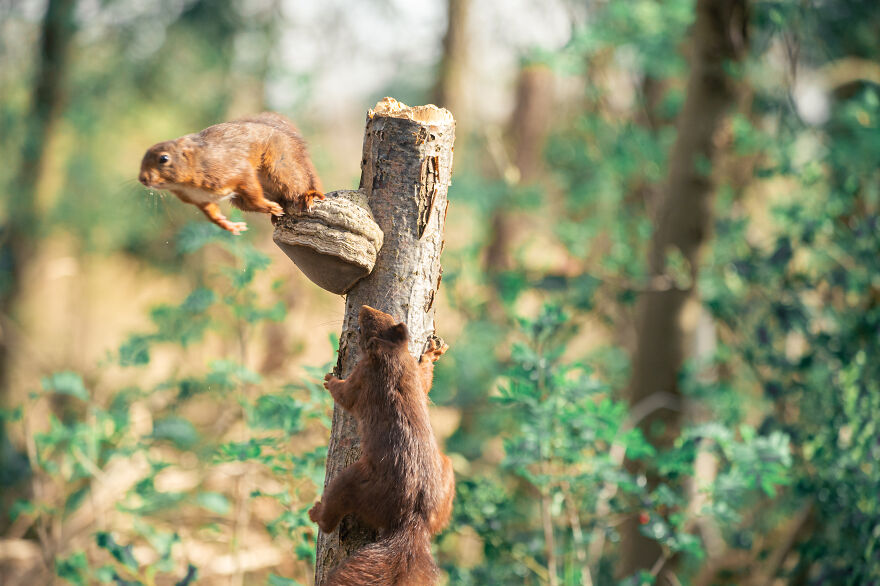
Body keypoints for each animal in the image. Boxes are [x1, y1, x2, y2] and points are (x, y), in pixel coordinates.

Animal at [138, 112, 324, 235]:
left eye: (164, 158)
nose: (142, 179)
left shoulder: (234, 170)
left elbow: (252, 191)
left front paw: (266, 206)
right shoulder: (201, 199)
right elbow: (212, 214)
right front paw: (228, 225)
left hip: (280, 168)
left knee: (298, 183)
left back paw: (308, 196)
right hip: (239, 200)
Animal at [309, 305, 455, 586]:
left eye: (365, 324)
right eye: (385, 317)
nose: (365, 308)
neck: (392, 356)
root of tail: (412, 520)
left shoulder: (362, 377)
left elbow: (345, 396)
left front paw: (330, 380)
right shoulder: (413, 374)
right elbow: (425, 380)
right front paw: (431, 354)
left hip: (356, 483)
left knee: (331, 515)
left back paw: (316, 512)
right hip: (447, 474)